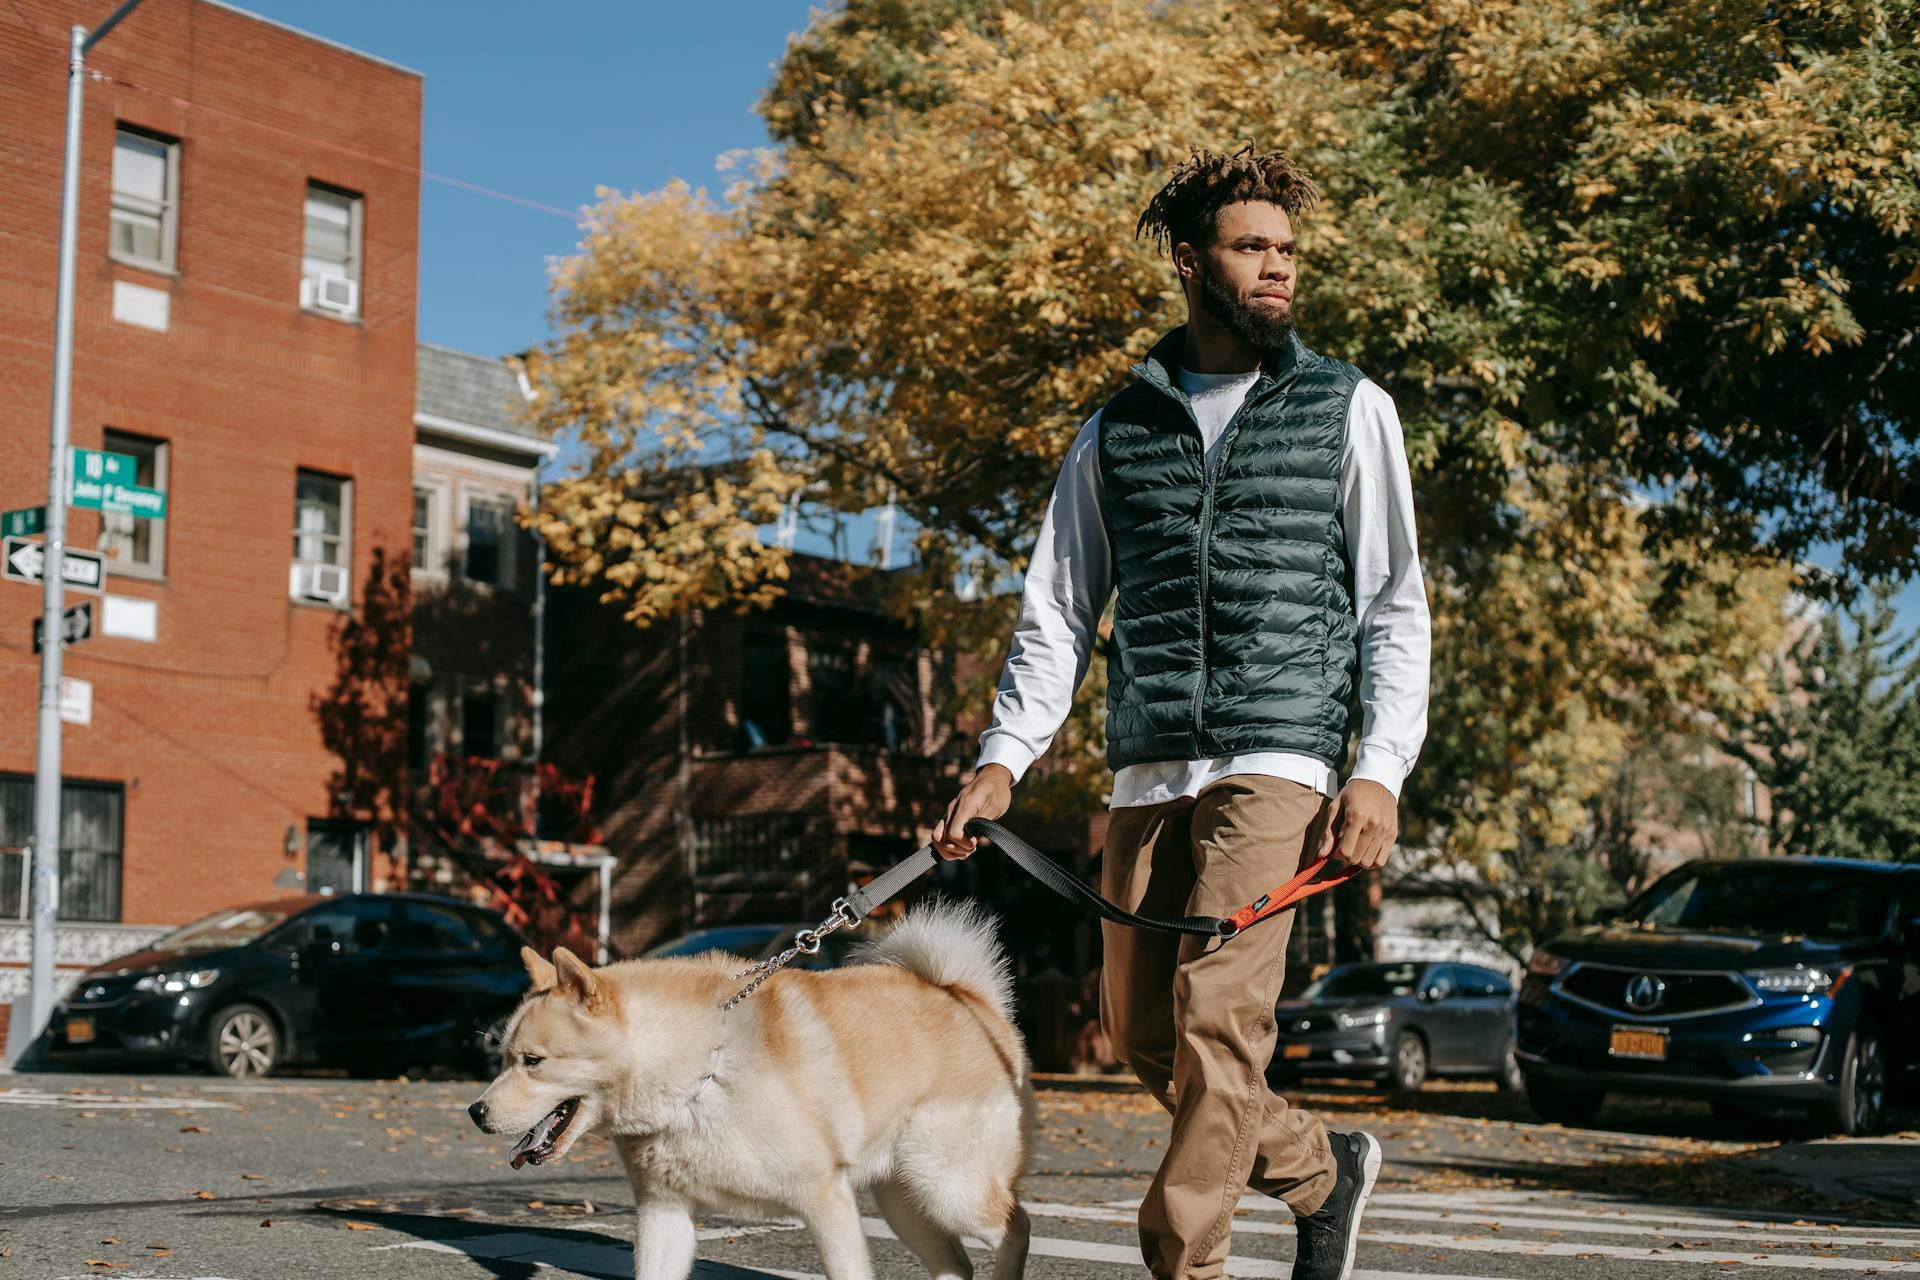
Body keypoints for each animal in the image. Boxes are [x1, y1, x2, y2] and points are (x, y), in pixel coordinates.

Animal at [468, 901, 1036, 1280]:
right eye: (504, 1058)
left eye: (534, 1062)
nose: (475, 1111)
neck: (701, 1073)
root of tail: (970, 999)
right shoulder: (663, 1212)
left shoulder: (825, 1200)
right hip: (906, 1198)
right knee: (957, 1263)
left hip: (946, 1184)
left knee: (1017, 1226)